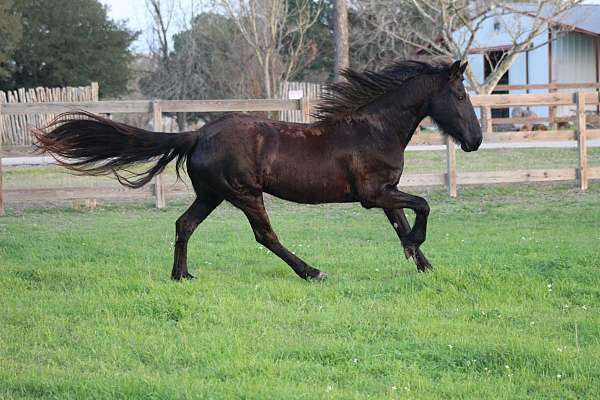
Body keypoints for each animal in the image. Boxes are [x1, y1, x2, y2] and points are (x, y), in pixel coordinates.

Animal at [34, 60, 482, 282]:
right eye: (460, 95)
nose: (475, 140)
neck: (375, 130)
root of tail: (198, 134)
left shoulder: (387, 190)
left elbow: (401, 220)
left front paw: (423, 265)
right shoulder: (372, 195)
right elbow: (421, 206)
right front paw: (417, 246)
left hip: (212, 194)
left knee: (184, 224)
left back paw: (182, 275)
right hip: (245, 194)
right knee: (265, 235)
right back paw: (312, 271)